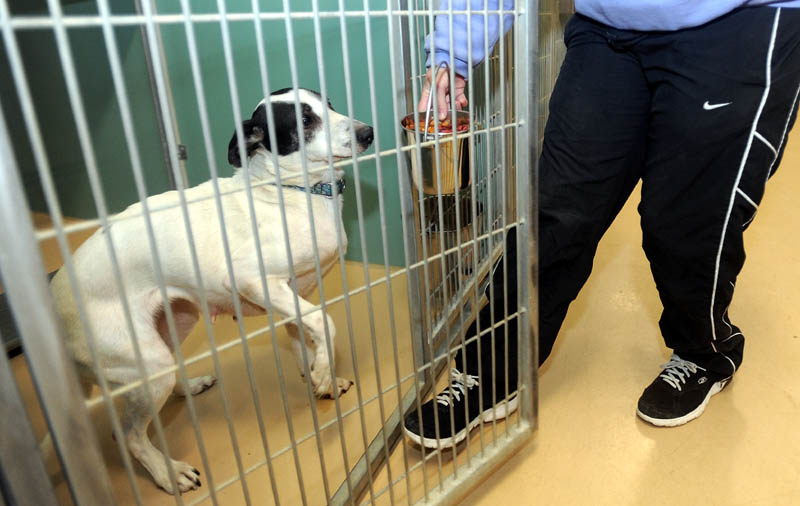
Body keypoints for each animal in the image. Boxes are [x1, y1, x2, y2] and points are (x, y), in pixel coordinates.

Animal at [48, 88, 374, 494]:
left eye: (329, 104)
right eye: (303, 120)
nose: (368, 133)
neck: (290, 191)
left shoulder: (293, 298)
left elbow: (306, 343)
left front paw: (321, 378)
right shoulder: (254, 280)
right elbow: (324, 323)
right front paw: (323, 372)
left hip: (174, 326)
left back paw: (190, 387)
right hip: (145, 360)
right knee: (129, 435)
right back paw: (168, 474)